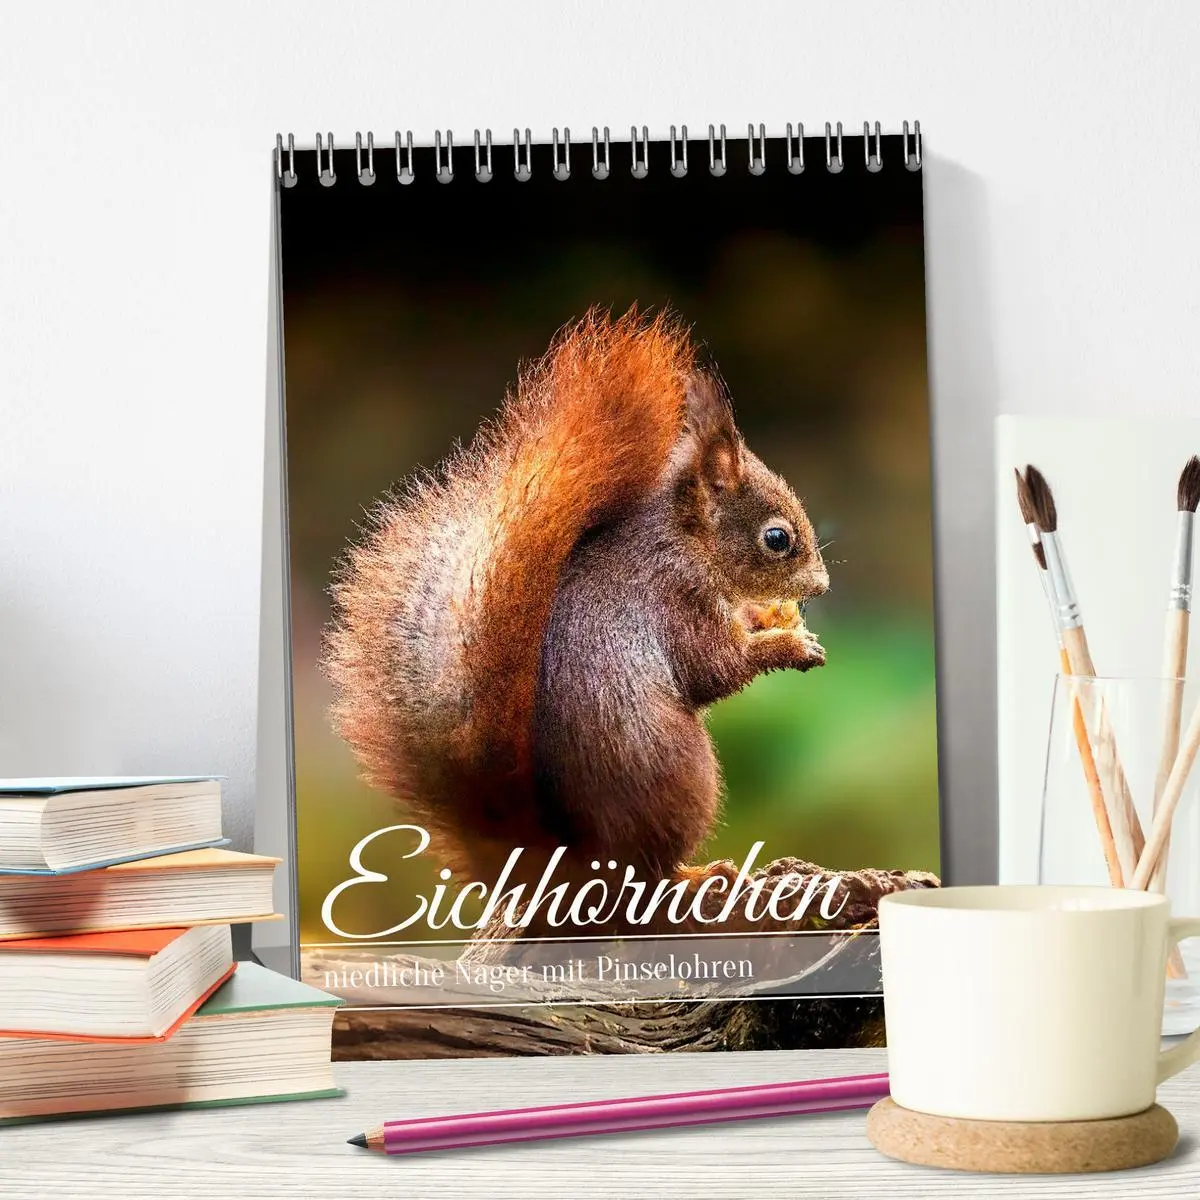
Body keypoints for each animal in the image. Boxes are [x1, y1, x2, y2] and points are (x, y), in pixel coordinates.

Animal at [323, 308, 926, 944]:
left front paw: (767, 615)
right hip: (682, 775)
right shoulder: (673, 599)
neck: (686, 540)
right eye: (776, 538)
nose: (820, 587)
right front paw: (788, 642)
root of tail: (569, 865)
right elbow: (714, 668)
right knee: (646, 875)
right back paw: (697, 875)